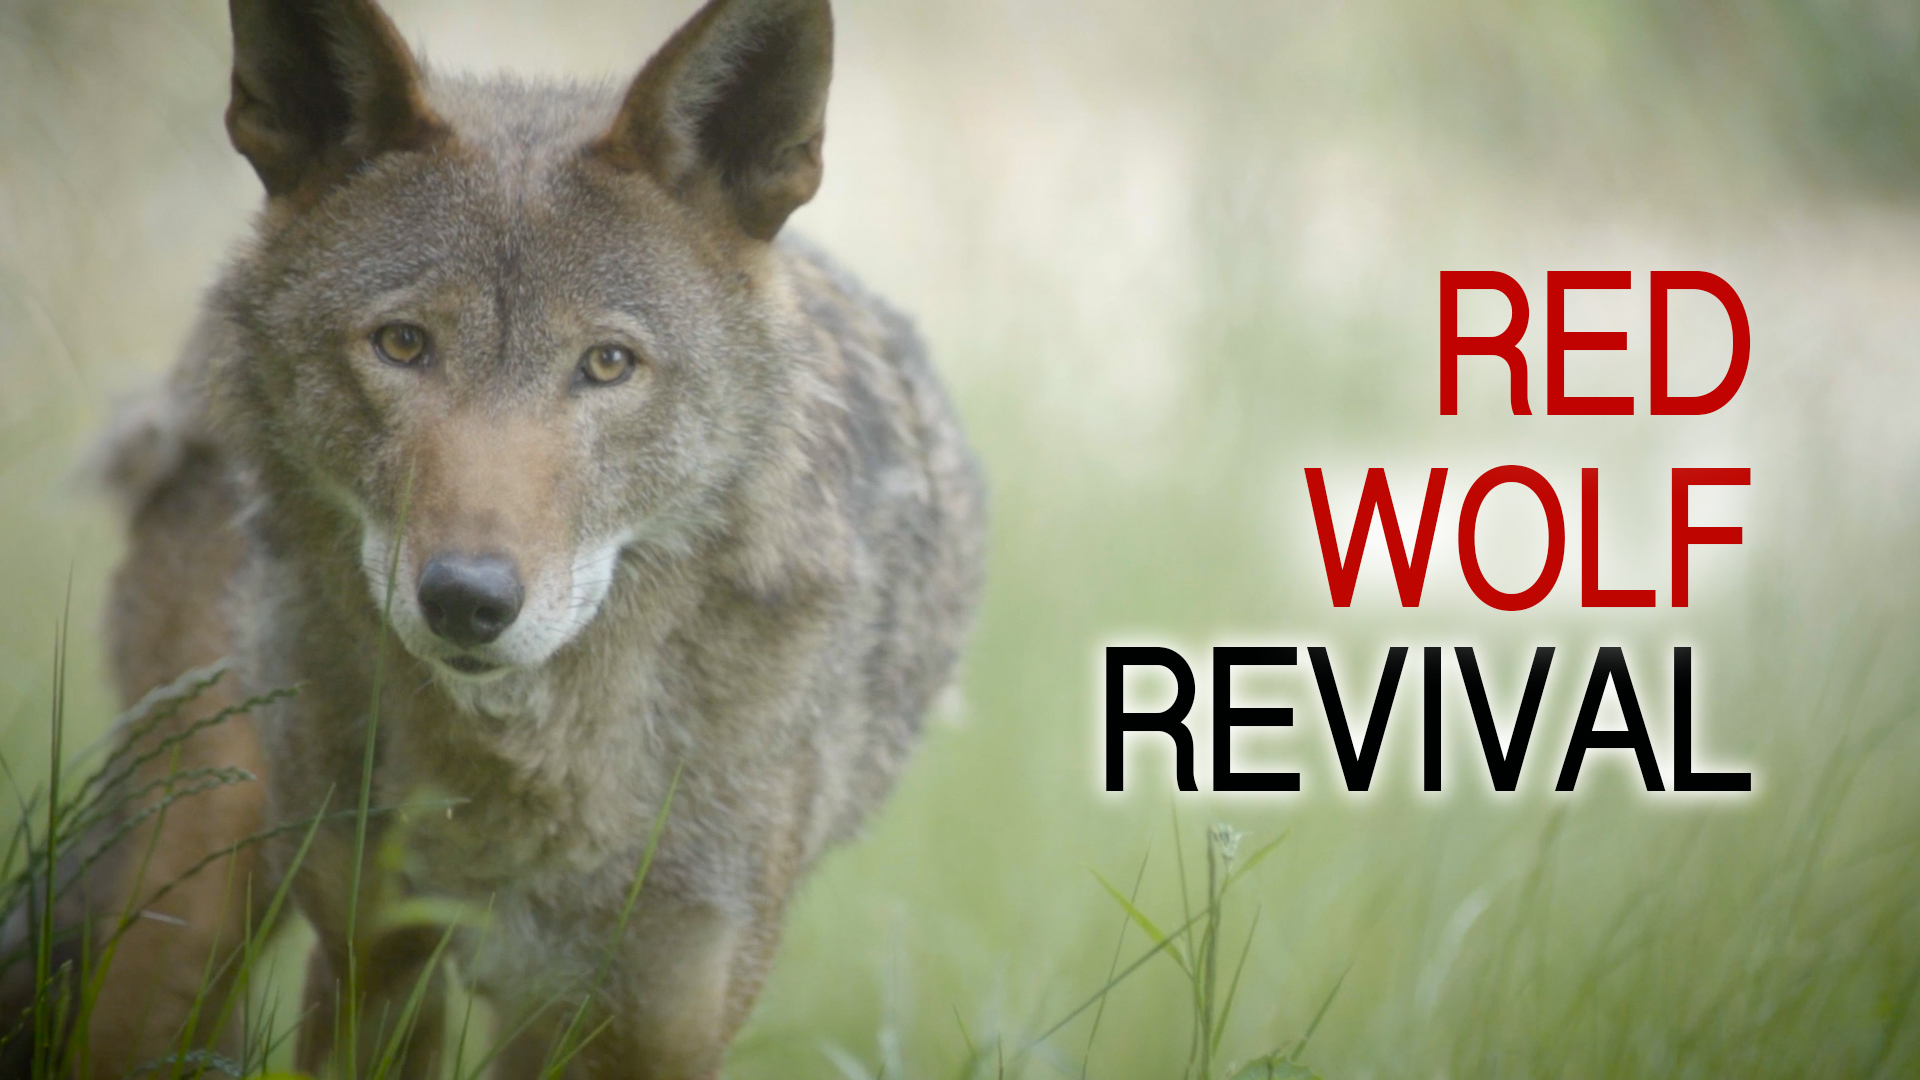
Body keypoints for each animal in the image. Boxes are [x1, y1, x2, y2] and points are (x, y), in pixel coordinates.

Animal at [45, 0, 985, 1076]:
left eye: (608, 363)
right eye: (402, 343)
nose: (467, 599)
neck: (527, 771)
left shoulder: (658, 1021)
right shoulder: (372, 962)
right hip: (196, 888)